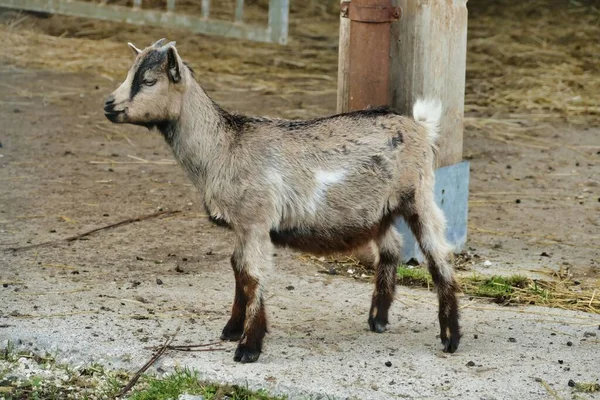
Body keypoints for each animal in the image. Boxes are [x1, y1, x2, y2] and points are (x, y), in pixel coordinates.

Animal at [104, 39, 460, 362]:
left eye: (149, 81)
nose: (108, 105)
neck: (222, 147)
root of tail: (421, 127)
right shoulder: (242, 225)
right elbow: (237, 268)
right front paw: (232, 329)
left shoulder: (255, 221)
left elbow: (252, 274)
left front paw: (248, 347)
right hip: (377, 211)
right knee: (391, 248)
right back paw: (378, 319)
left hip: (419, 196)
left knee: (438, 255)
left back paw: (450, 337)